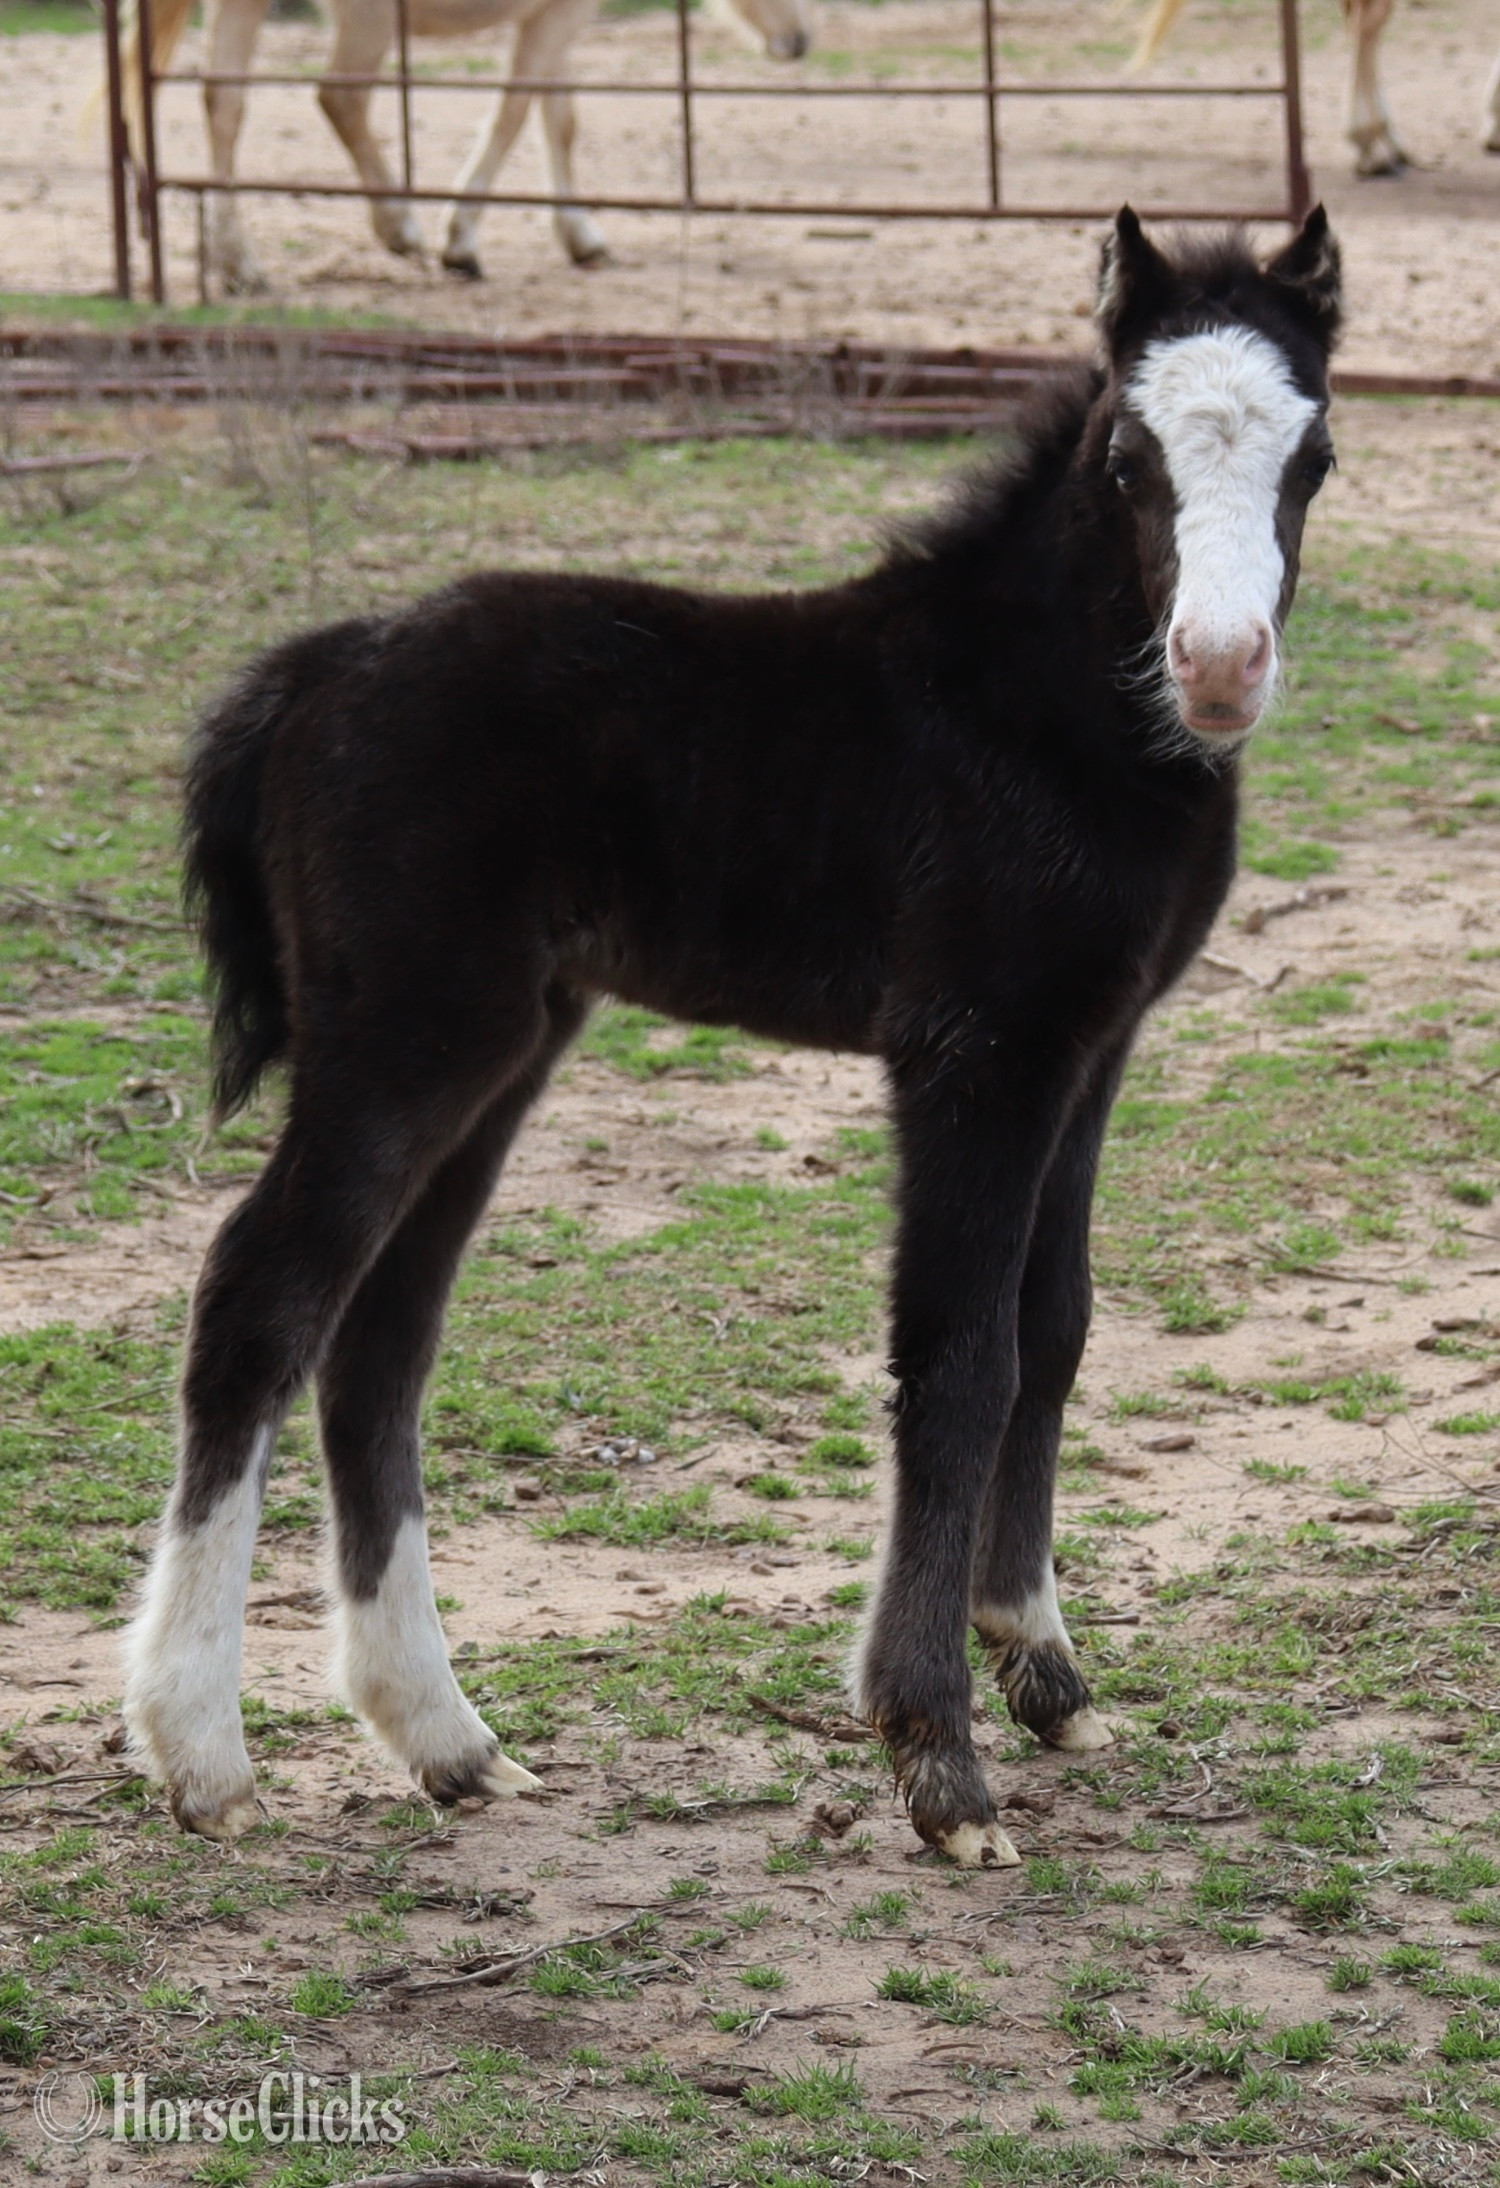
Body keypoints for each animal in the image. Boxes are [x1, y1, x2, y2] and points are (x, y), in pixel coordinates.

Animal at [121, 0, 813, 295]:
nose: (802, 40)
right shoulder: (556, 18)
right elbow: (514, 114)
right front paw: (461, 242)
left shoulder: (552, 23)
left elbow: (558, 120)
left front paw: (581, 237)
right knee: (340, 98)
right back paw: (401, 228)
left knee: (224, 104)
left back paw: (239, 263)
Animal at [122, 205, 1341, 1864]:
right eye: (1125, 459)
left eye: (1314, 452)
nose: (1218, 665)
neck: (1033, 717)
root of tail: (315, 669)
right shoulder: (973, 1054)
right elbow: (958, 1352)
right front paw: (937, 1756)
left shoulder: (1091, 1051)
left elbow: (1058, 1324)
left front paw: (1040, 1660)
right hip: (406, 1039)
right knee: (260, 1302)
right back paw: (199, 1749)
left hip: (502, 1048)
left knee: (379, 1343)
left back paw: (445, 1739)